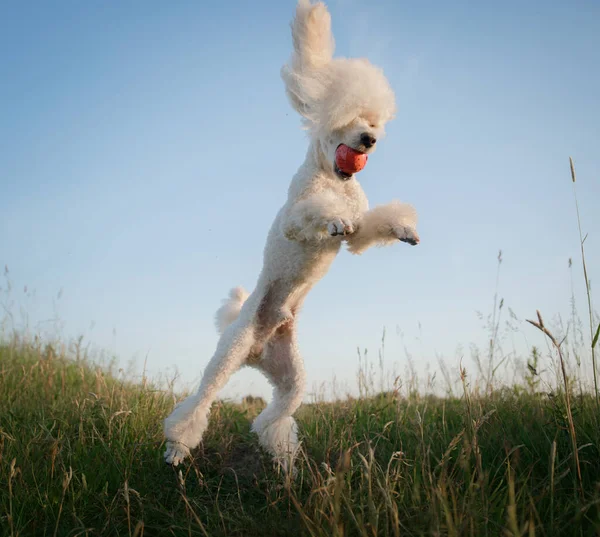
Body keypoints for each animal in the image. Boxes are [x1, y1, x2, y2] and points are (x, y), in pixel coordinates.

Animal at [162, 0, 420, 468]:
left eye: (373, 121)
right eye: (347, 118)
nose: (369, 139)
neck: (335, 180)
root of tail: (257, 351)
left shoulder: (359, 232)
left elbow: (366, 228)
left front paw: (403, 227)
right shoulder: (296, 219)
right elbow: (316, 216)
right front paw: (332, 219)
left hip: (291, 377)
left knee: (275, 415)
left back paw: (283, 459)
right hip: (225, 357)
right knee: (199, 402)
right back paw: (176, 449)